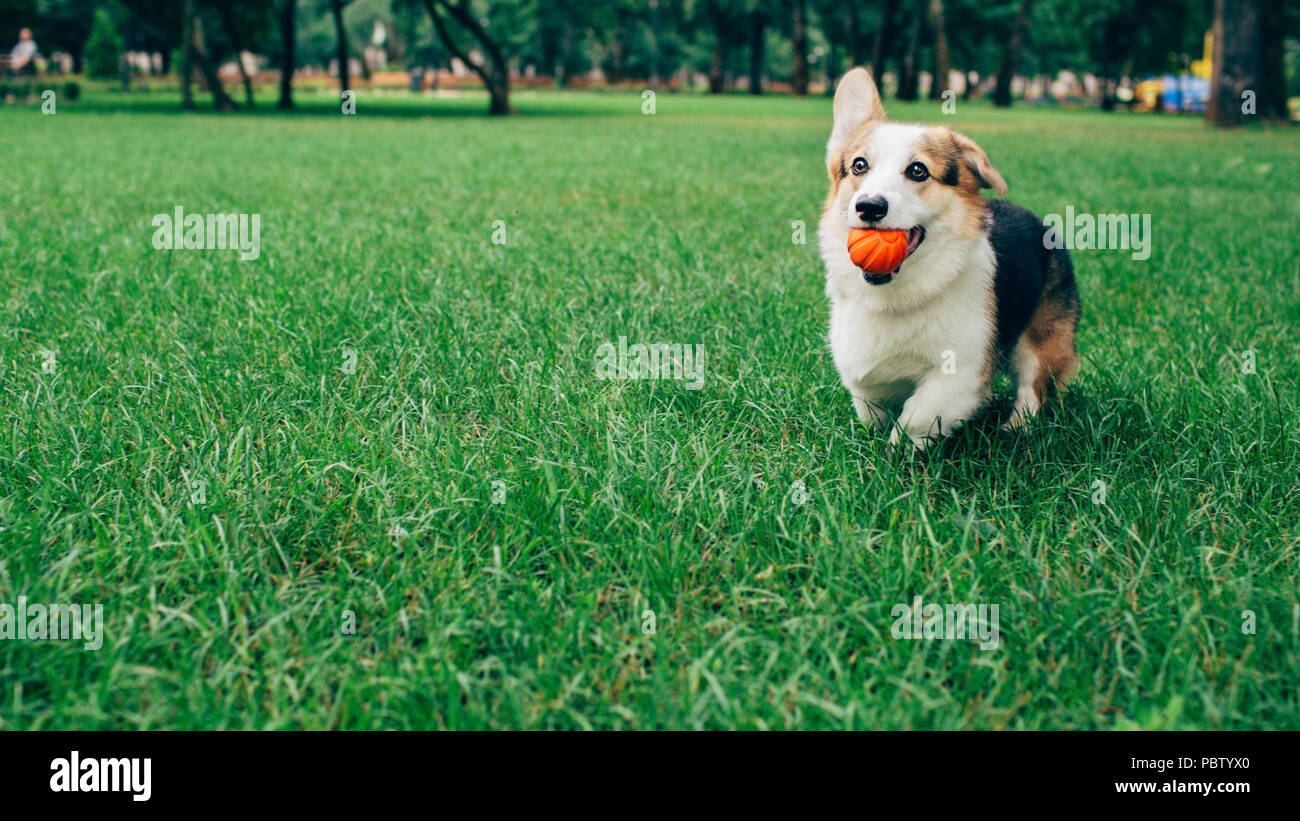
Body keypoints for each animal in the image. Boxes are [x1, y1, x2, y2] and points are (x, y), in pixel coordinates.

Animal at [816, 66, 1081, 446]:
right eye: (858, 166)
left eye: (918, 170)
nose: (868, 206)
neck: (896, 296)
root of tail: (1041, 223)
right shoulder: (859, 368)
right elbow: (869, 405)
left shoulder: (960, 374)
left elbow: (917, 414)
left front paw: (897, 450)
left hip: (1041, 341)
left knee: (1032, 388)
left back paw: (1015, 428)